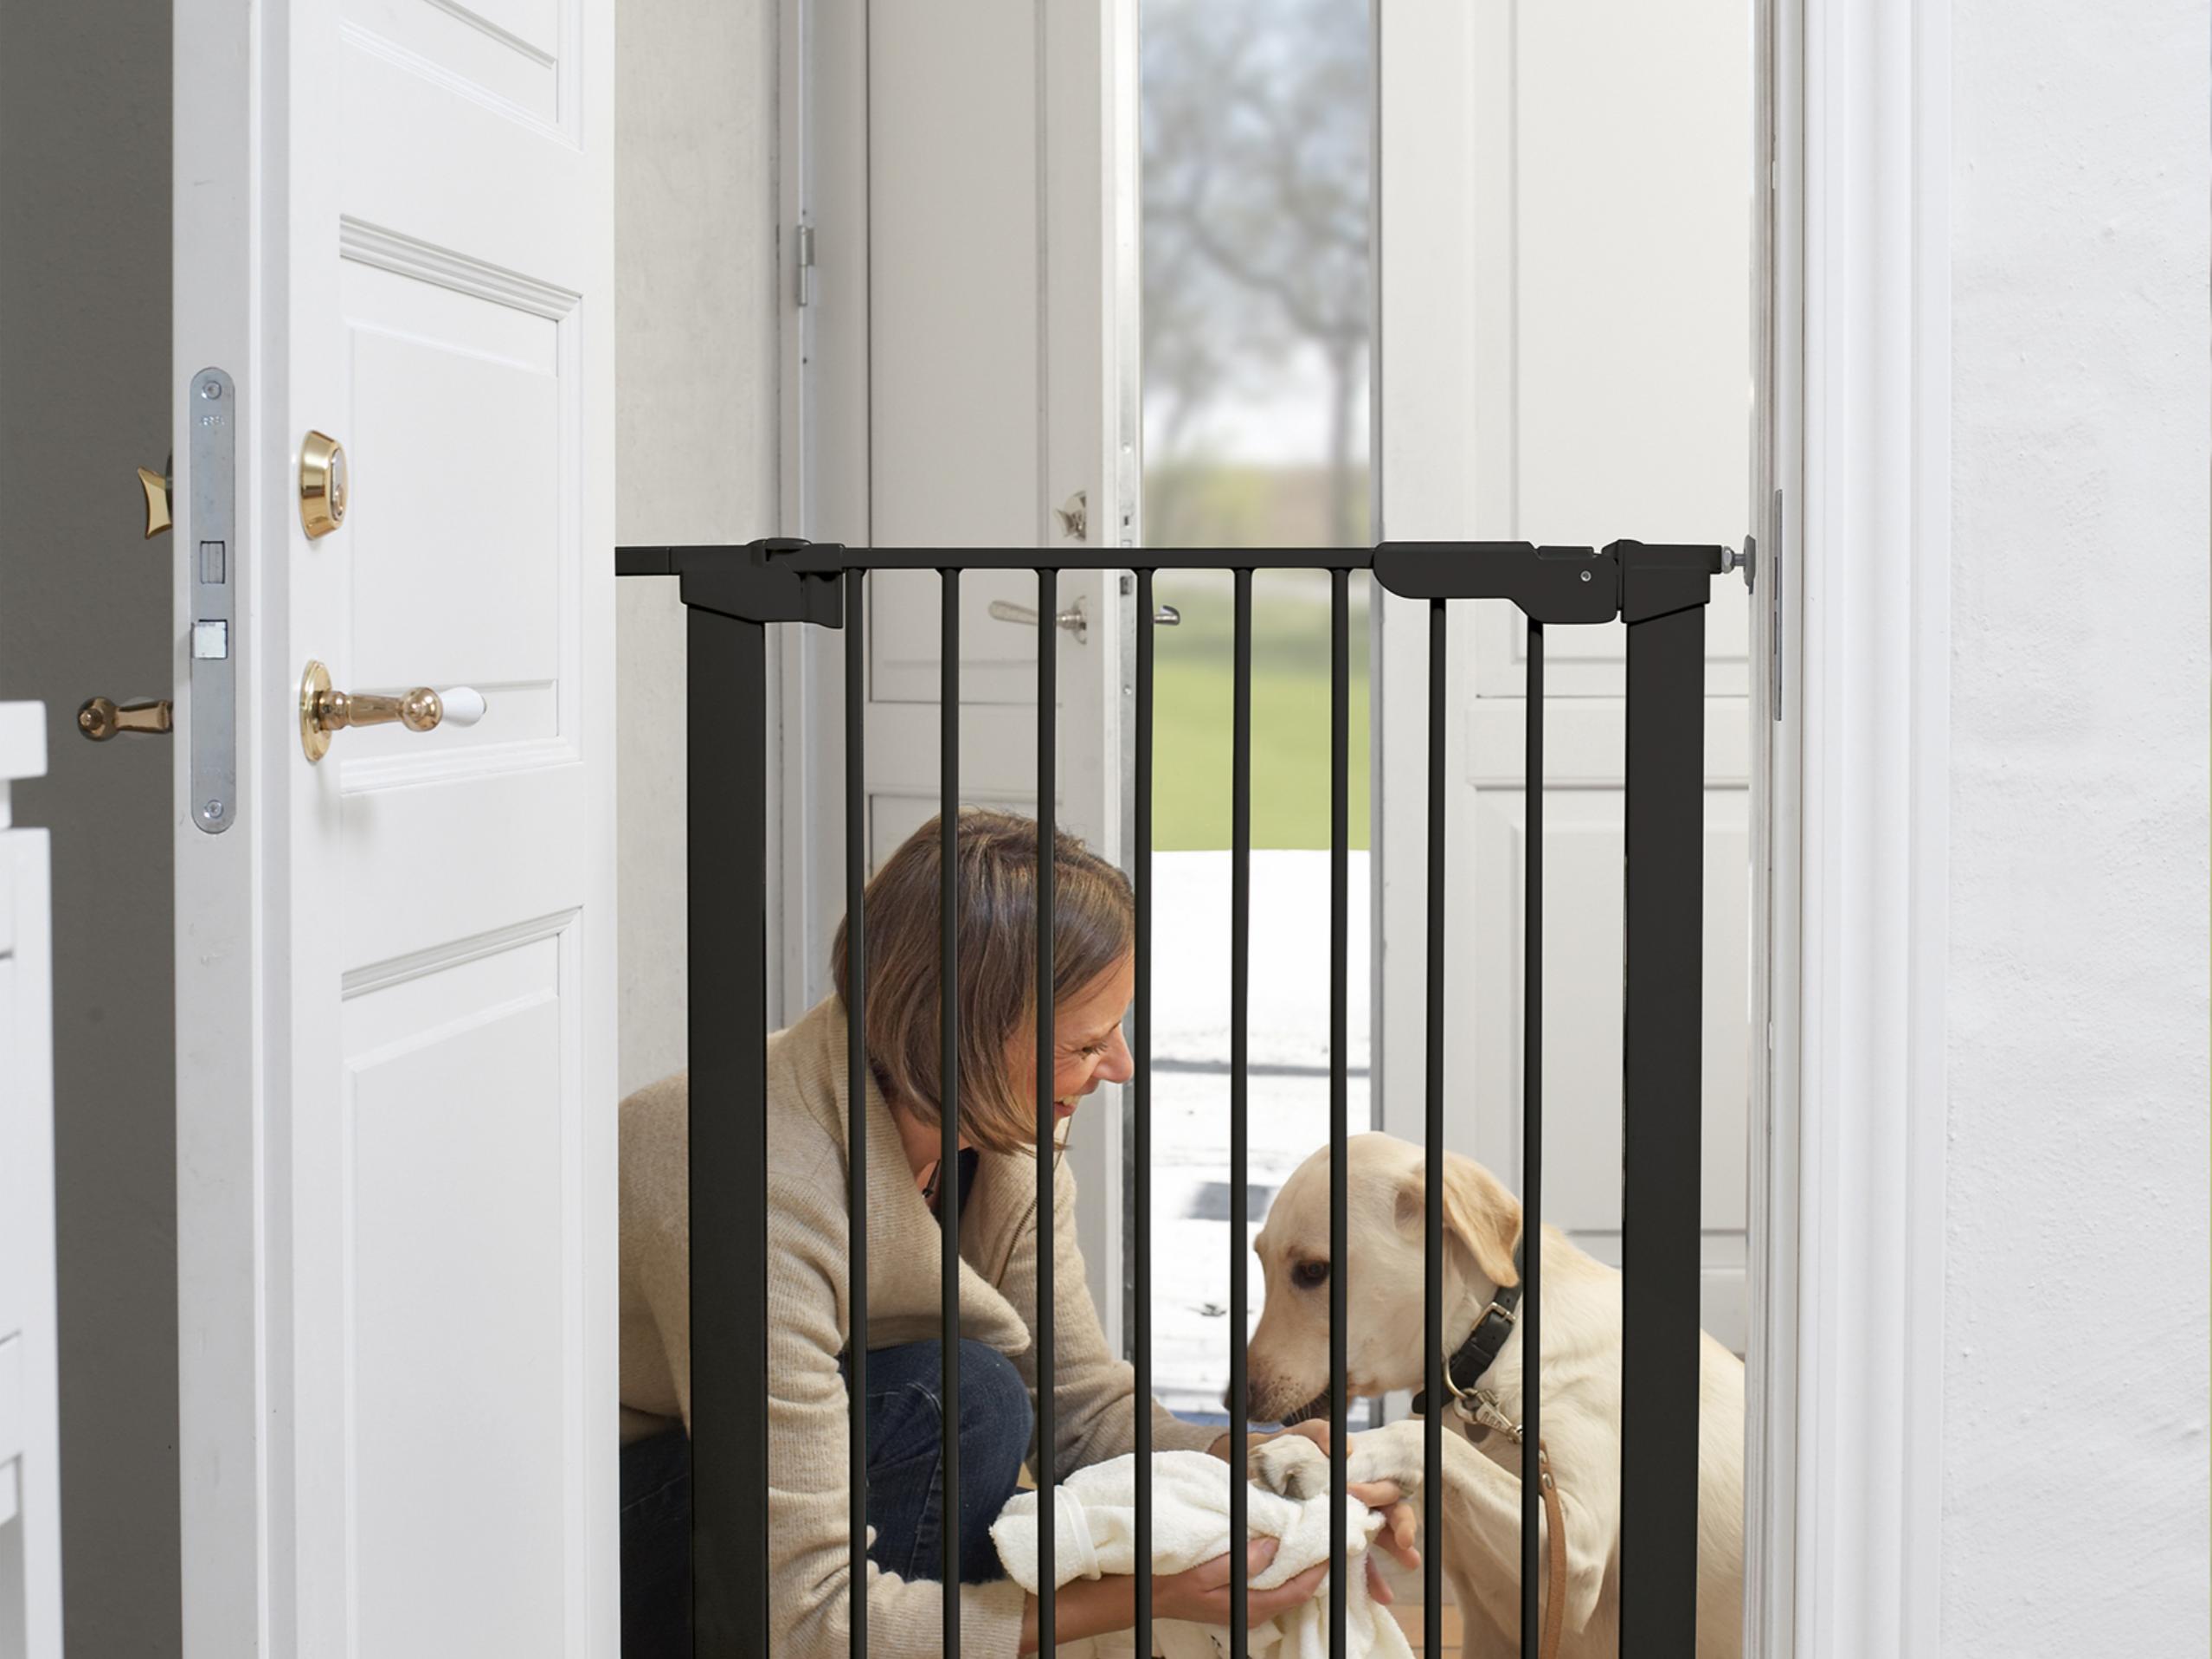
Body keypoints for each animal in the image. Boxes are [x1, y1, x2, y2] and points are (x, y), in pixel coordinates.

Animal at [1242, 1132, 1745, 1659]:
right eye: (1261, 1262)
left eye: (1312, 1270)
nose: (1237, 1398)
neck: (1494, 1343)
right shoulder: (1487, 1619)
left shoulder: (1577, 1553)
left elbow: (1421, 1438)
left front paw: (1309, 1455)